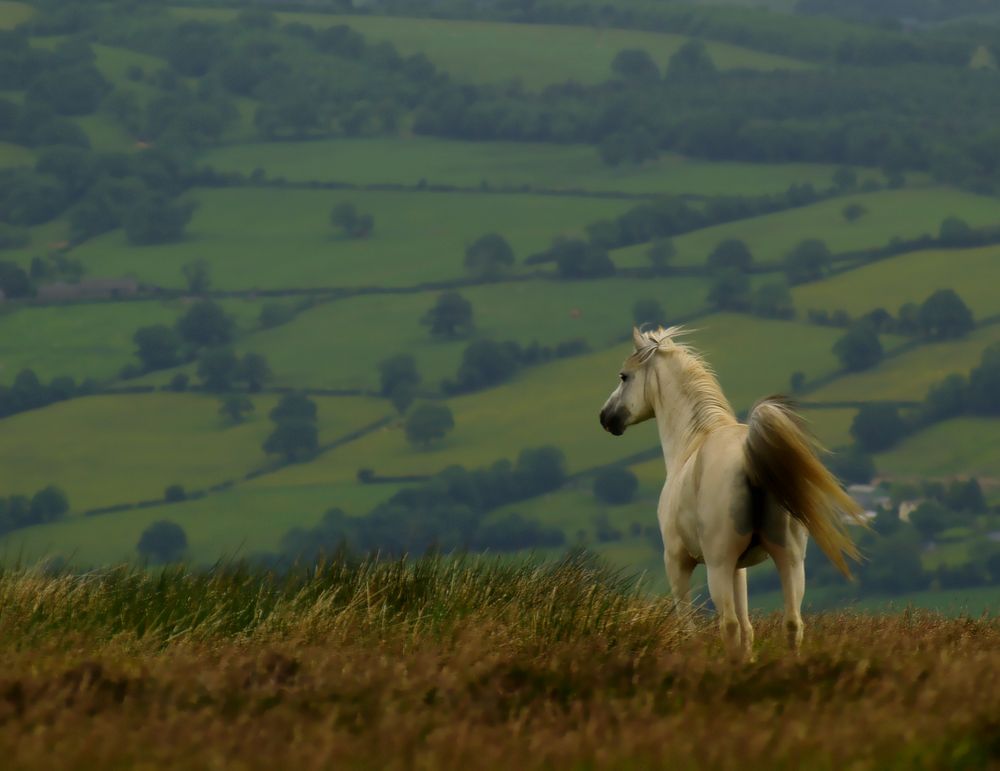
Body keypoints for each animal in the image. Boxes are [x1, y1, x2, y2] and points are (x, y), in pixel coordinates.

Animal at [596, 328, 864, 660]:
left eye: (624, 376)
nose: (605, 417)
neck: (694, 442)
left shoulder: (678, 561)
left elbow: (691, 629)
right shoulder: (740, 569)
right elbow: (748, 628)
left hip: (717, 565)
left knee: (729, 625)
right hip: (788, 560)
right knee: (791, 623)